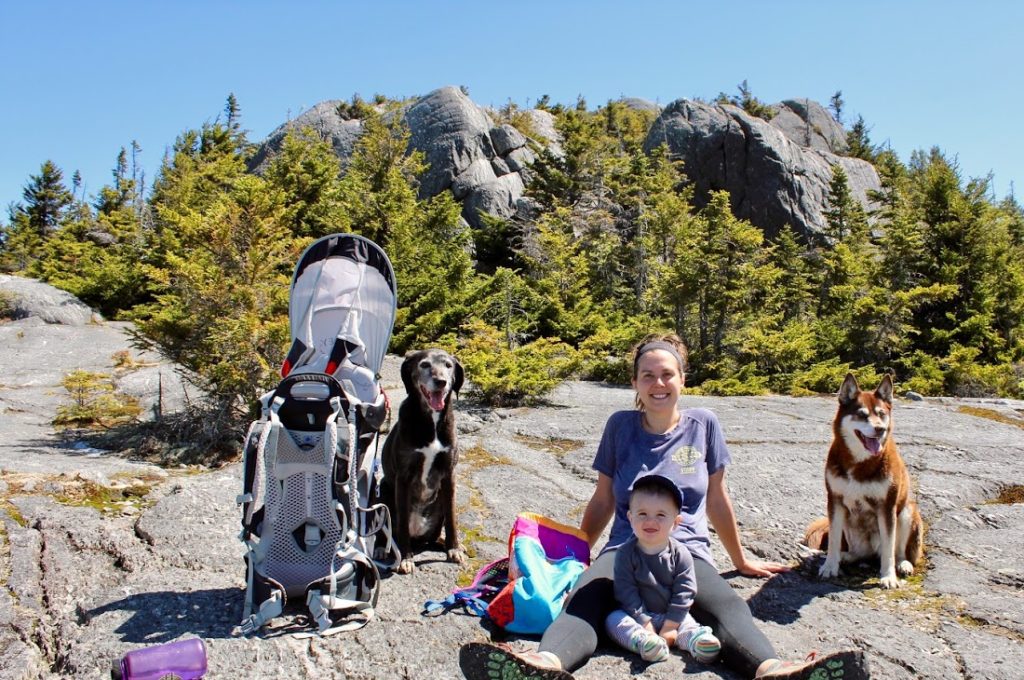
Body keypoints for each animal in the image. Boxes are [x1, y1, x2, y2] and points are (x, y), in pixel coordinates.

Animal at [382, 350, 466, 573]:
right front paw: (406, 558)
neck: (432, 421)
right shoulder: (403, 477)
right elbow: (402, 522)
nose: (441, 382)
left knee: (436, 534)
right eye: (424, 365)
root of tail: (418, 535)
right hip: (383, 489)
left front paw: (454, 549)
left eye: (448, 365)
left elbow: (452, 519)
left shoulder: (449, 475)